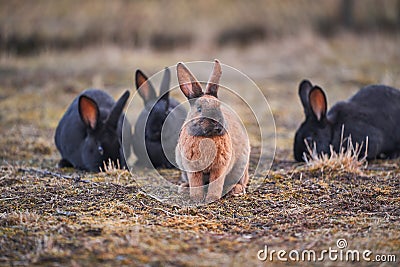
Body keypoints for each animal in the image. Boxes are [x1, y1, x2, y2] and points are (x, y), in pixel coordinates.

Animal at [176, 60, 250, 203]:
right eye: (199, 109)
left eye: (219, 106)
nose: (217, 124)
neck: (207, 137)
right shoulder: (192, 168)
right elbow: (196, 183)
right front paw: (197, 199)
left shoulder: (220, 167)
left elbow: (216, 183)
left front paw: (211, 198)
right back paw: (184, 188)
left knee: (241, 183)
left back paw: (234, 190)